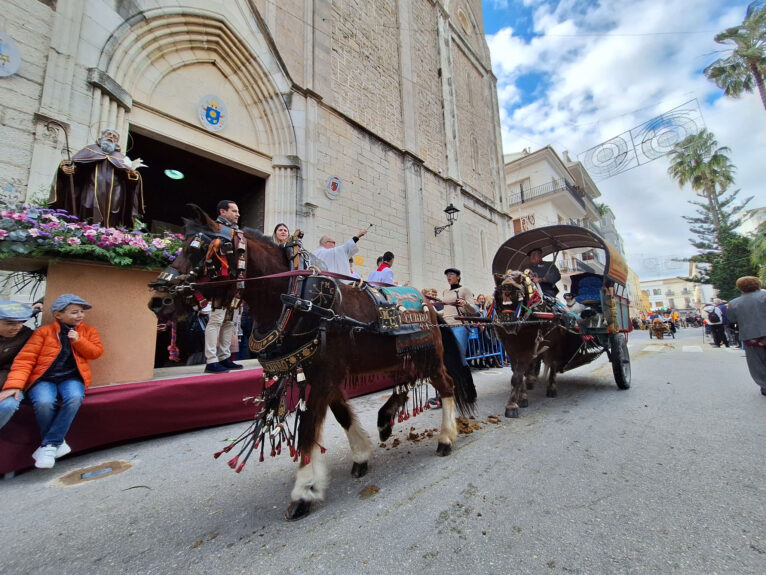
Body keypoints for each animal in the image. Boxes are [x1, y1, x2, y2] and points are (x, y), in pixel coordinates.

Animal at [151, 208, 476, 520]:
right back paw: (385, 420)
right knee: (407, 383)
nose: (157, 300)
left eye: (198, 250)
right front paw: (361, 455)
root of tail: (430, 305)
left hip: (430, 356)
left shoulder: (323, 376)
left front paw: (304, 491)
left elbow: (308, 429)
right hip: (404, 356)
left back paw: (445, 438)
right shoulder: (321, 375)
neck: (296, 300)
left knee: (445, 386)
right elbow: (342, 414)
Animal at [492, 270, 608, 418]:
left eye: (517, 294)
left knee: (553, 365)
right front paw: (522, 397)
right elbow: (519, 373)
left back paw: (551, 388)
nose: (508, 323)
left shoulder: (527, 348)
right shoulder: (510, 348)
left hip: (555, 346)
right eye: (498, 294)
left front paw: (512, 405)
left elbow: (517, 376)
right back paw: (532, 380)